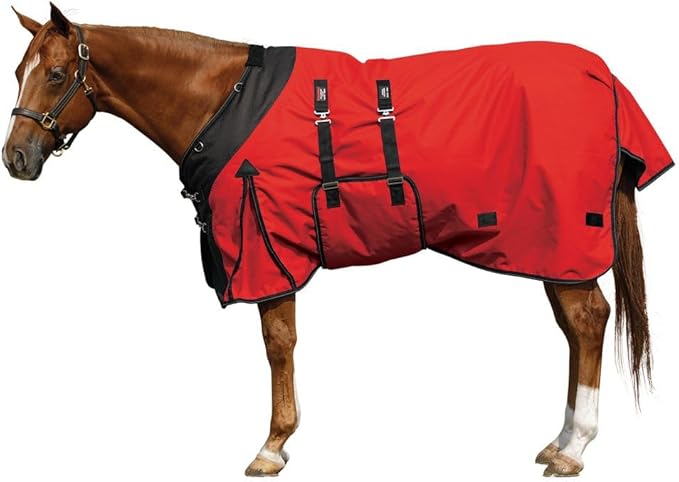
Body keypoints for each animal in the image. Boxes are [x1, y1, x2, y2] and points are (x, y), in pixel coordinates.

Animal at [2, 4, 673, 477]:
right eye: (17, 72)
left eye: (56, 74)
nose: (16, 158)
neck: (225, 100)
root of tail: (602, 75)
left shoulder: (268, 245)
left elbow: (278, 344)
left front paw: (272, 446)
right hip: (548, 249)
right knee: (576, 328)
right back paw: (560, 441)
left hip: (561, 243)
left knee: (587, 321)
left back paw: (574, 448)